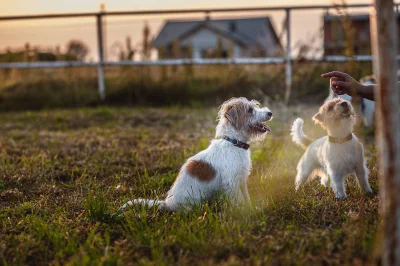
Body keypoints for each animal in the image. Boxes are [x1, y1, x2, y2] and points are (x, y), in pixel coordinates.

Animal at [122, 96, 272, 211]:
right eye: (250, 110)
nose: (269, 112)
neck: (233, 142)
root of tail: (167, 203)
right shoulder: (231, 182)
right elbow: (239, 199)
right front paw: (243, 212)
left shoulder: (241, 179)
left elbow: (246, 196)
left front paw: (250, 208)